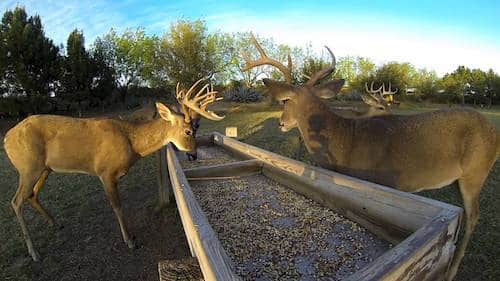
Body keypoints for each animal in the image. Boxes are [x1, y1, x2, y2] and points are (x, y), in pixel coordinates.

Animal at [4, 77, 224, 260]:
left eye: (196, 128)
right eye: (188, 131)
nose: (193, 155)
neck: (132, 143)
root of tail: (6, 138)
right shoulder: (105, 172)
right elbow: (117, 206)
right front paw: (130, 241)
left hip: (45, 169)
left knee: (31, 195)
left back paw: (56, 224)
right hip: (28, 167)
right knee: (16, 201)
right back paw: (34, 253)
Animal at [240, 34, 498, 278]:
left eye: (286, 100)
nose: (281, 123)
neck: (345, 141)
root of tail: (494, 132)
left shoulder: (380, 180)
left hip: (476, 171)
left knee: (474, 215)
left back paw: (452, 270)